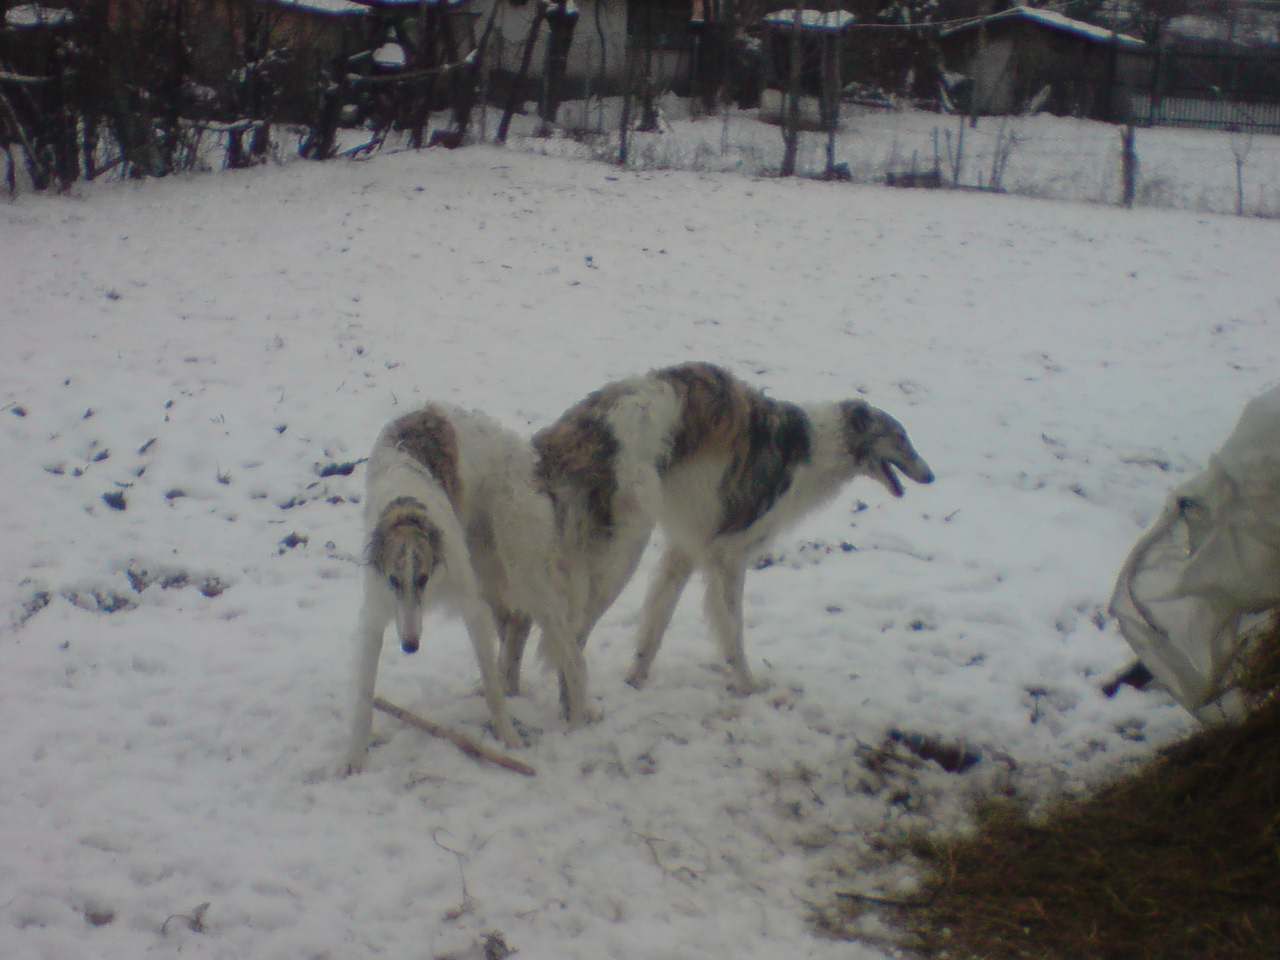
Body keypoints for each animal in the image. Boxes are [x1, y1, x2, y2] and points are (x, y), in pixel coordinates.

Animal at [348, 404, 591, 773]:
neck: (407, 505)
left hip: (522, 567)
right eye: (394, 580)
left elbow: (492, 688)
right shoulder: (375, 613)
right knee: (518, 629)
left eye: (422, 578)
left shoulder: (472, 607)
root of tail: (523, 451)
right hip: (491, 567)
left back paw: (577, 723)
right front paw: (352, 759)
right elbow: (363, 696)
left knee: (571, 653)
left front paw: (509, 740)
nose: (410, 646)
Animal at [504, 363, 936, 696]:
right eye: (900, 438)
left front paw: (637, 678)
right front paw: (748, 685)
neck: (816, 446)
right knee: (569, 637)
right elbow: (732, 630)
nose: (930, 476)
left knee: (523, 626)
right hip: (620, 554)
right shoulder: (728, 556)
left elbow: (655, 625)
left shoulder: (684, 551)